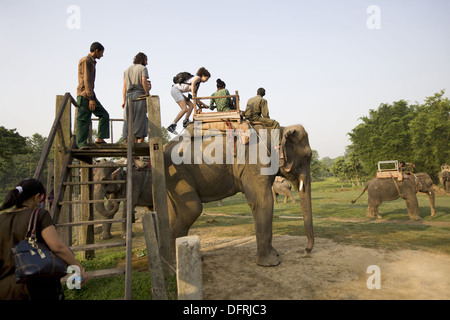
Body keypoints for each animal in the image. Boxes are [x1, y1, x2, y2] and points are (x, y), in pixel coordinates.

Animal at [164, 121, 312, 266]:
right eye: (307, 156)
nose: (306, 250)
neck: (278, 129)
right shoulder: (256, 161)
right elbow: (262, 201)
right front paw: (271, 263)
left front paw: (275, 254)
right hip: (179, 175)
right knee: (192, 210)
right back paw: (177, 263)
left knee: (173, 212)